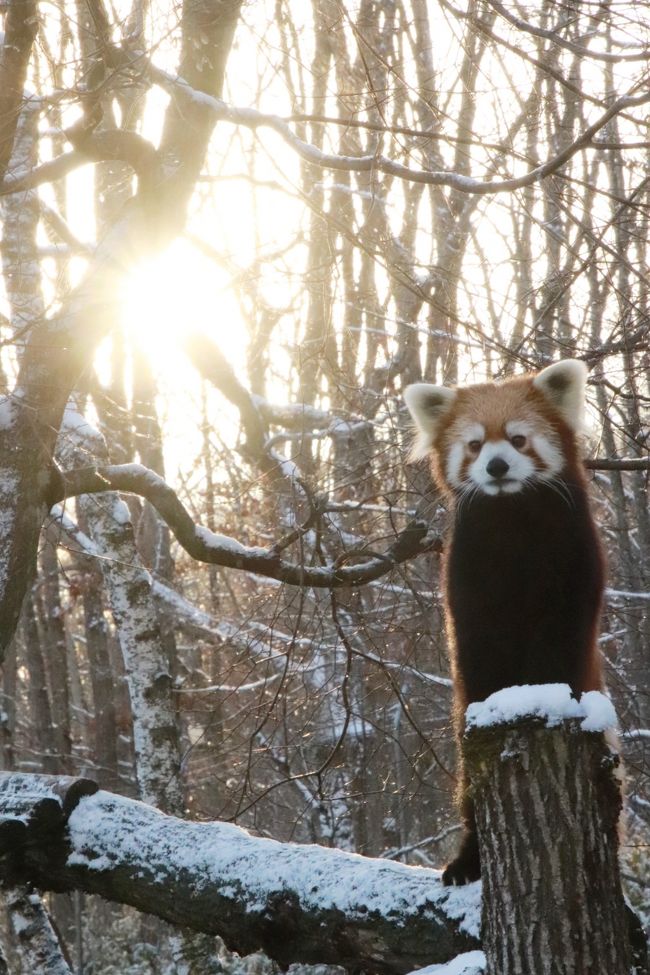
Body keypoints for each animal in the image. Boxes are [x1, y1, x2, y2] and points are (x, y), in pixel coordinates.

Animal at [402, 362, 604, 888]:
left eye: (517, 439)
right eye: (475, 444)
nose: (496, 467)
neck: (512, 517)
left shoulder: (573, 562)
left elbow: (558, 638)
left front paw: (540, 692)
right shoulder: (468, 577)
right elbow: (479, 651)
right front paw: (499, 698)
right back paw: (467, 859)